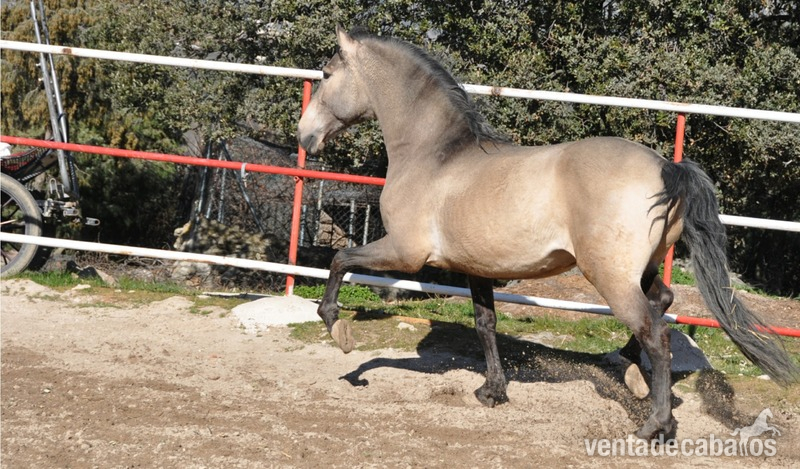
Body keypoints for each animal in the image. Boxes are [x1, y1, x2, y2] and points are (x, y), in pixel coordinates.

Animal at [296, 25, 799, 440]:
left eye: (325, 73)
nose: (305, 137)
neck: (435, 156)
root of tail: (665, 166)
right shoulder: (476, 268)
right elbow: (485, 324)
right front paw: (492, 392)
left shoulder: (404, 253)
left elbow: (339, 261)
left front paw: (337, 328)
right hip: (641, 269)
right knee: (663, 304)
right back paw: (634, 376)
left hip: (609, 276)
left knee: (656, 333)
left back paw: (654, 425)